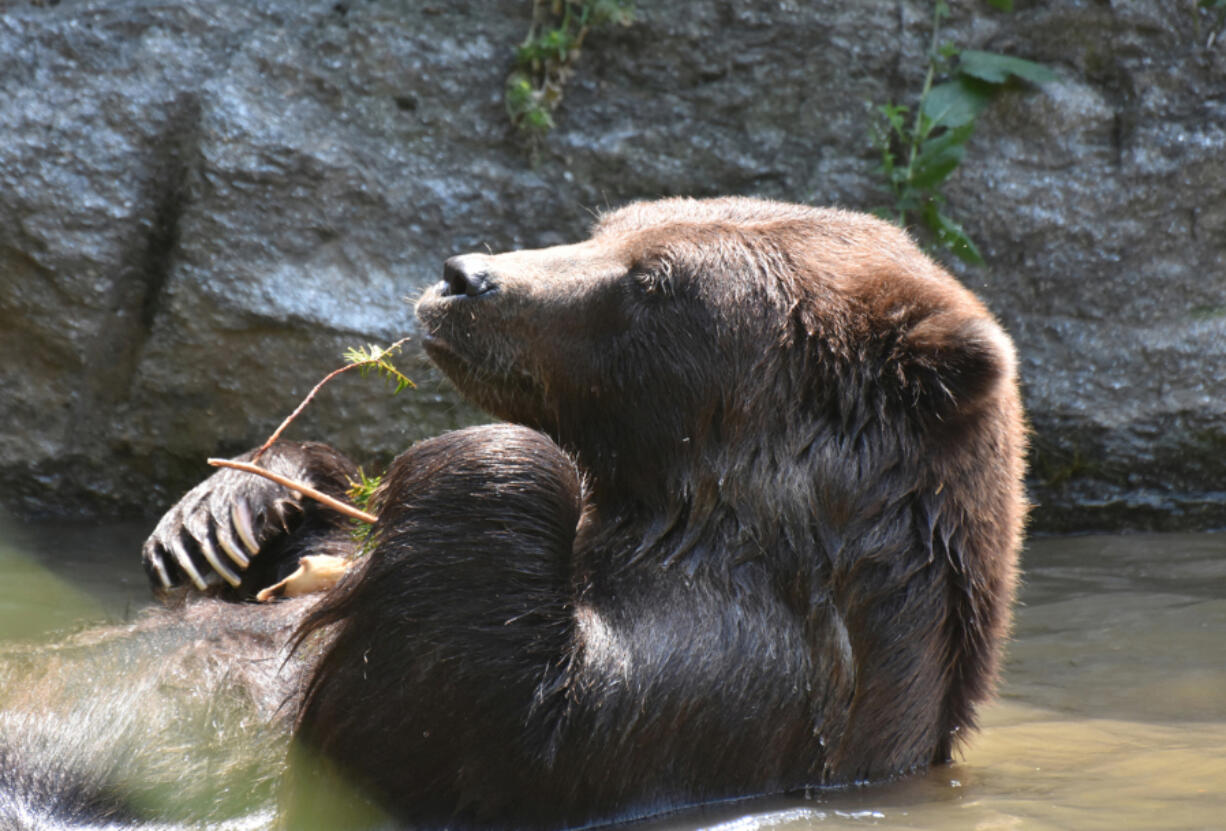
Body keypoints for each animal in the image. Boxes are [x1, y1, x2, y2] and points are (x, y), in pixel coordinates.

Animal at [134, 193, 1029, 828]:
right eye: (608, 226)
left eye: (655, 280)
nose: (464, 274)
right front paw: (224, 514)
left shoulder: (735, 687)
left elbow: (464, 736)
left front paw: (500, 452)